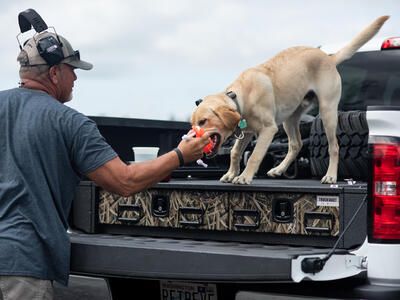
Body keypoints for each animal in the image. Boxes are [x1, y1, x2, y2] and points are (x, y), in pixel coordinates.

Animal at [192, 15, 390, 184]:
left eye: (203, 121)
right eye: (193, 124)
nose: (191, 137)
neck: (241, 96)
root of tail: (329, 58)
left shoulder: (268, 130)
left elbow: (254, 156)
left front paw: (244, 177)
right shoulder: (247, 132)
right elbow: (234, 152)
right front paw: (231, 173)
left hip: (327, 112)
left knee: (334, 147)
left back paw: (330, 176)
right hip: (290, 118)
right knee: (296, 144)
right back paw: (279, 169)